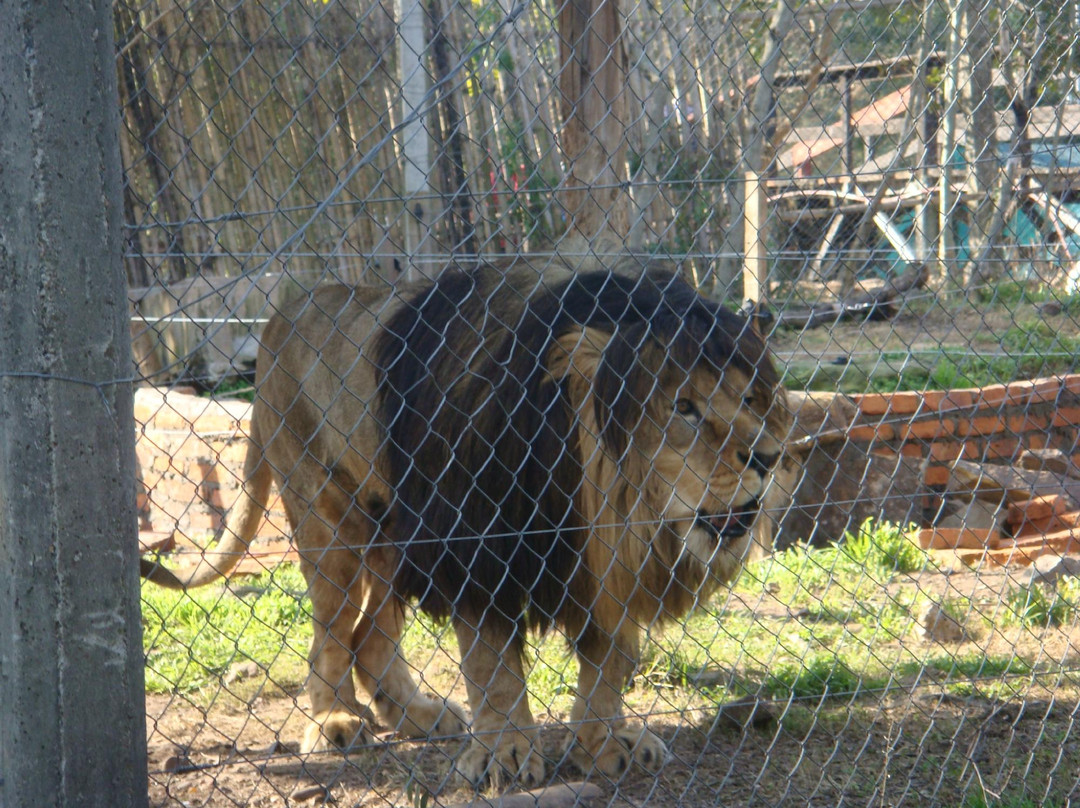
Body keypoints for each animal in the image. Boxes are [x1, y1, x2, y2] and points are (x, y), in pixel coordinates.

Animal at [143, 259, 790, 790]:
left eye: (750, 399)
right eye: (683, 407)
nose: (768, 456)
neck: (605, 501)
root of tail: (285, 314)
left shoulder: (598, 565)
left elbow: (611, 661)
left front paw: (605, 743)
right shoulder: (474, 549)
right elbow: (492, 665)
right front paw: (504, 754)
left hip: (392, 530)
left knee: (370, 636)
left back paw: (419, 715)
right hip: (327, 514)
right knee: (331, 632)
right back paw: (334, 720)